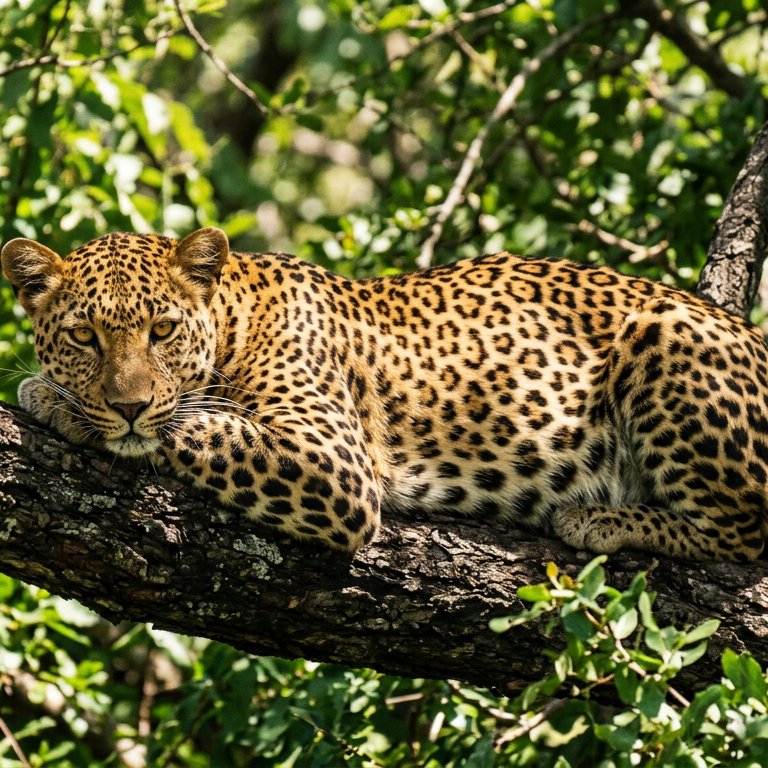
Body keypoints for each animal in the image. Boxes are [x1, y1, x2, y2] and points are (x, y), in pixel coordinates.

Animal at [2, 227, 768, 561]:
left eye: (161, 330)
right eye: (84, 337)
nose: (127, 404)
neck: (236, 317)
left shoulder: (333, 467)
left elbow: (194, 428)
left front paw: (55, 403)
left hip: (667, 332)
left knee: (741, 532)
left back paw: (597, 520)